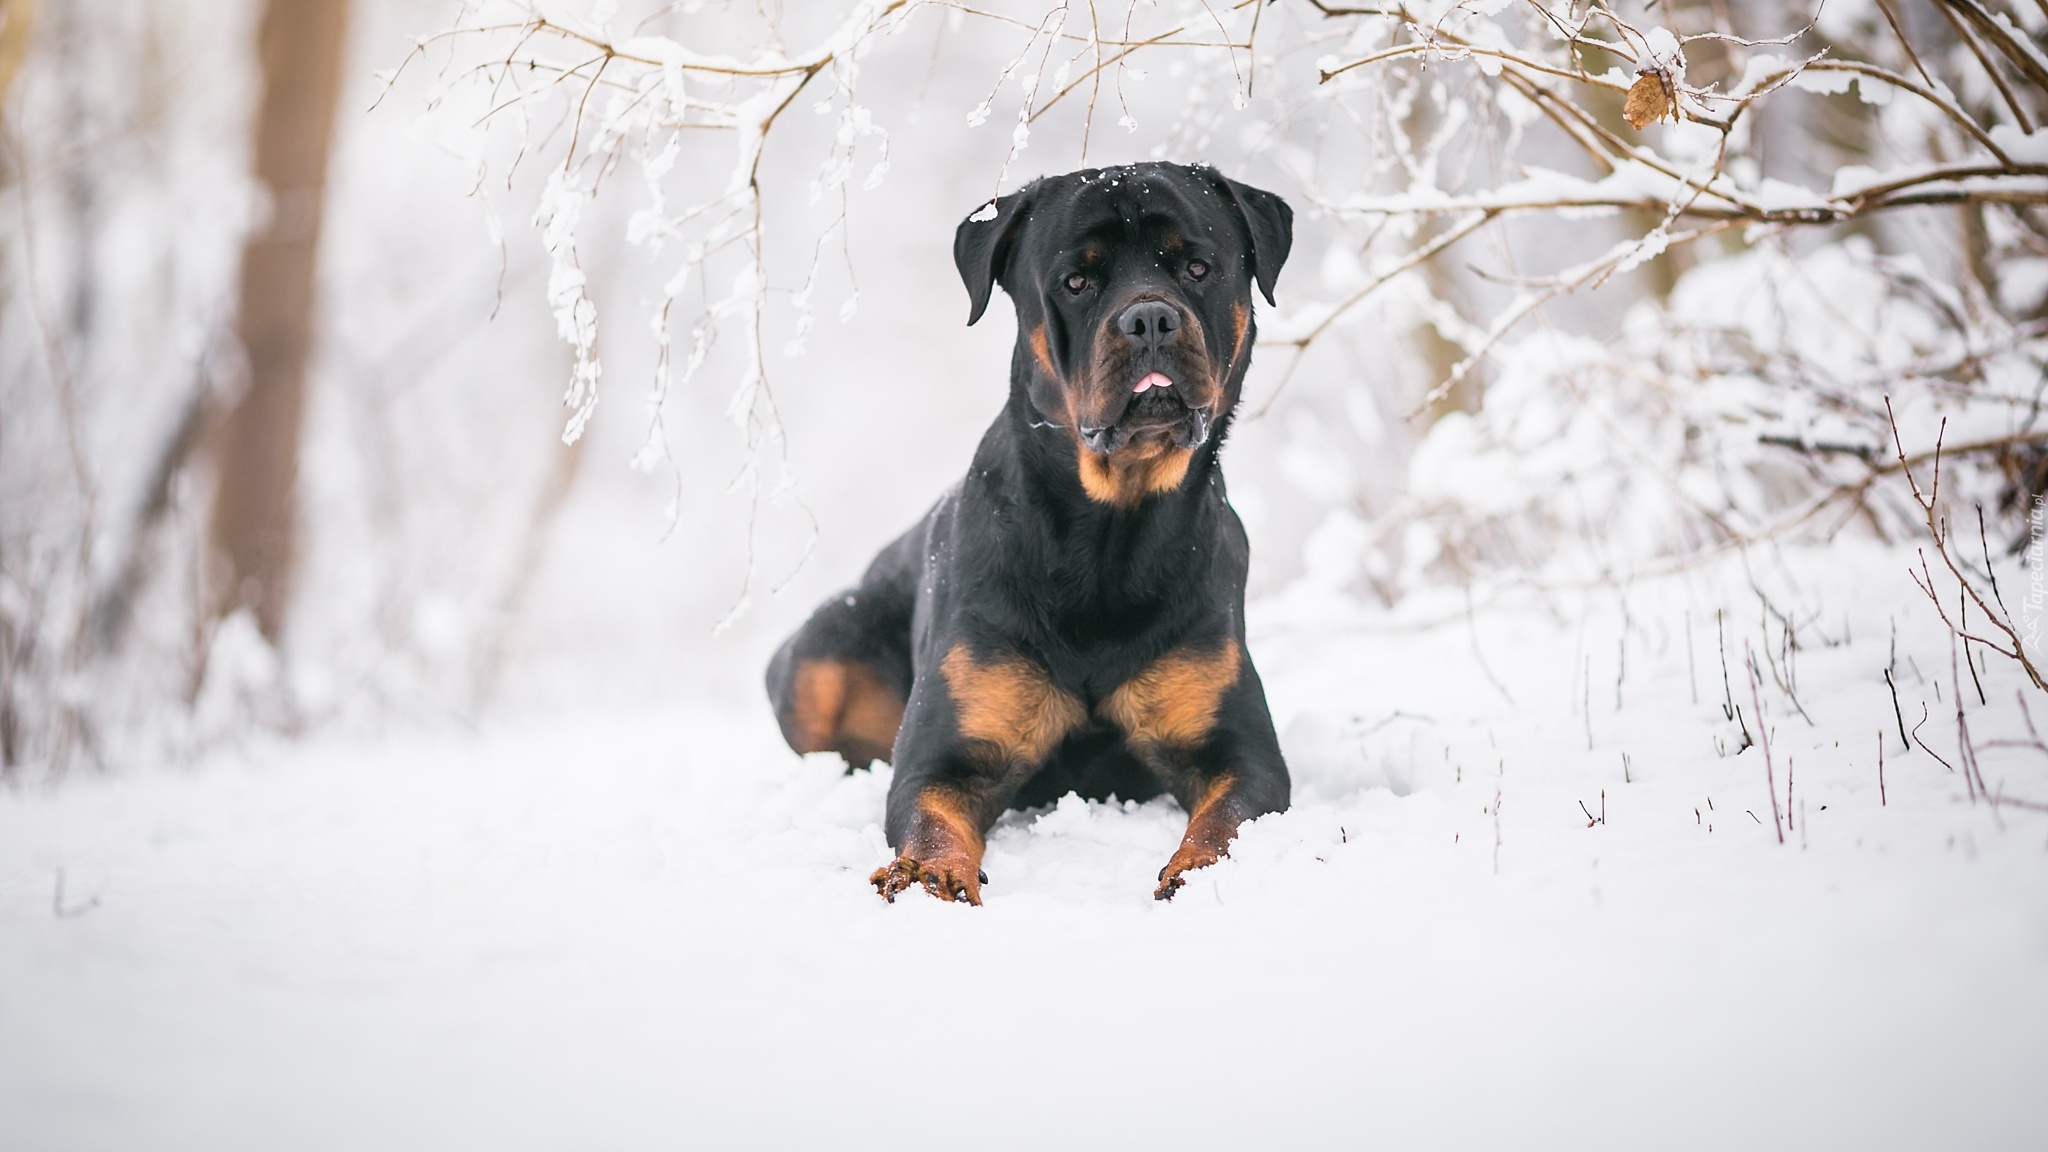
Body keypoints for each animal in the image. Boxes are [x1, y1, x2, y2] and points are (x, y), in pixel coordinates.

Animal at [770, 158, 1294, 897]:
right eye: (1076, 281)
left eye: (1197, 267)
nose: (1151, 317)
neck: (1109, 536)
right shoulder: (946, 755)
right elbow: (932, 816)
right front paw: (928, 873)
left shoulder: (1241, 750)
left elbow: (1230, 820)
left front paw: (1196, 869)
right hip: (816, 657)